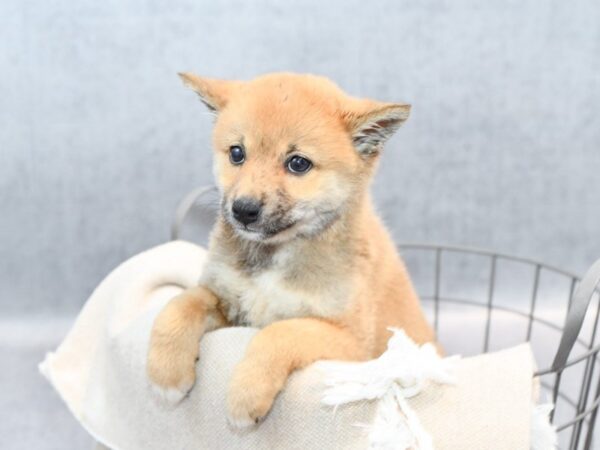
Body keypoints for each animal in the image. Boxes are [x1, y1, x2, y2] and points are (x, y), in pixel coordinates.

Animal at [146, 72, 436, 428]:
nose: (243, 210)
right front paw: (166, 374)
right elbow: (180, 305)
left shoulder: (352, 342)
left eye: (298, 163)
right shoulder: (224, 298)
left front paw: (246, 395)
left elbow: (279, 333)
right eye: (237, 153)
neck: (275, 255)